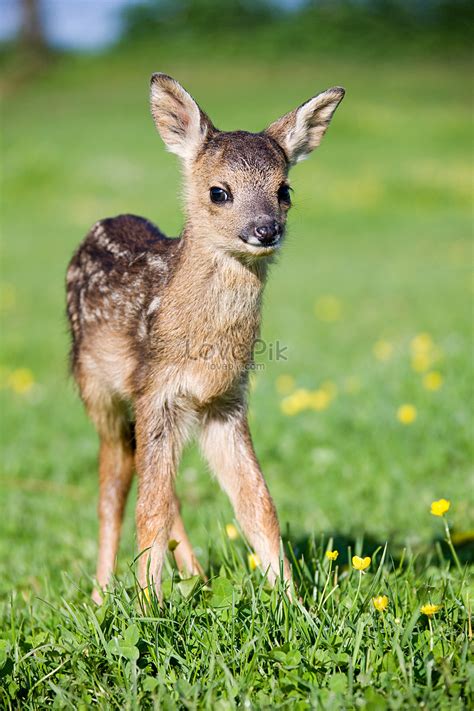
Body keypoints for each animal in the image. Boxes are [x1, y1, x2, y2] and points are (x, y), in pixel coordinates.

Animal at [65, 75, 344, 604]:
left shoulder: (225, 401)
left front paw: (293, 602)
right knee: (114, 483)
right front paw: (148, 606)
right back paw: (101, 593)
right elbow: (148, 510)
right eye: (219, 192)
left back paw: (193, 576)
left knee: (158, 483)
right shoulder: (155, 389)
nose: (266, 229)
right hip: (97, 391)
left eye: (284, 189)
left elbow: (257, 504)